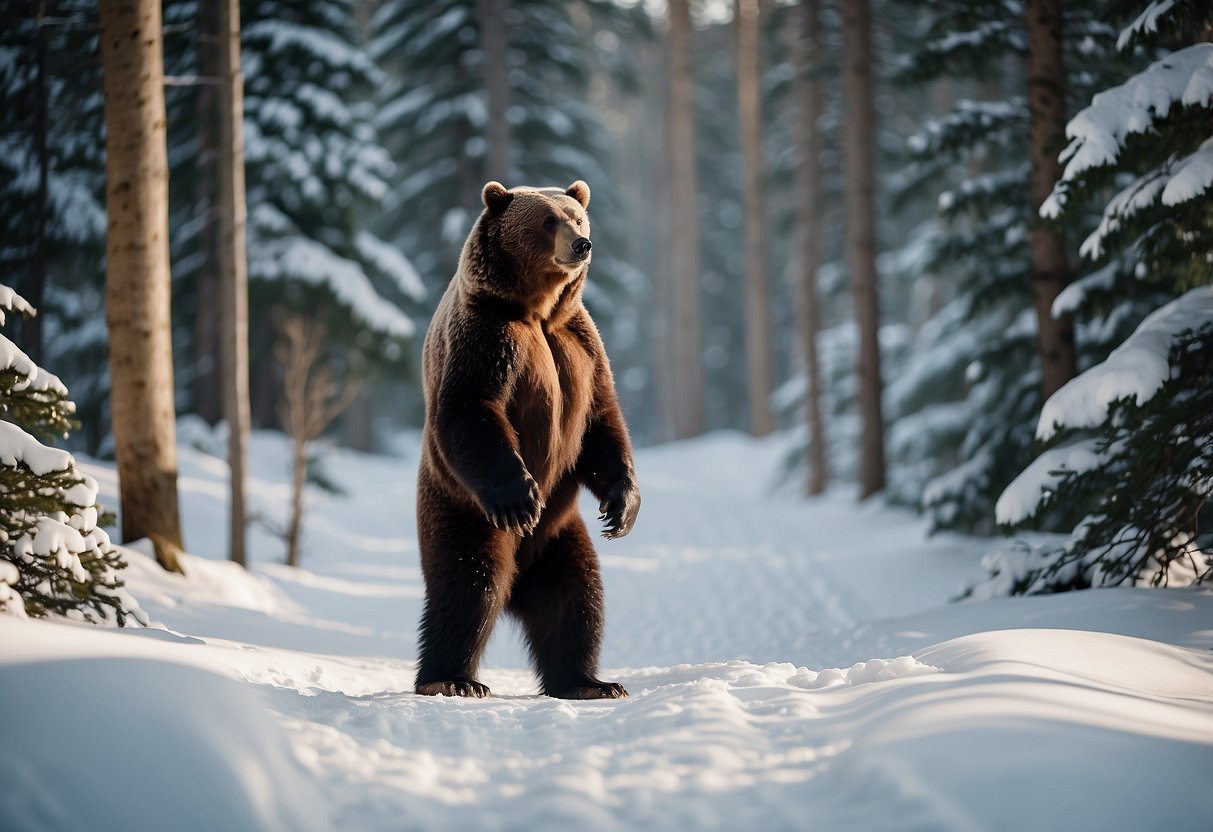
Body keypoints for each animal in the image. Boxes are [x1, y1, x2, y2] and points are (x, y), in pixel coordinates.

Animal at [414, 179, 645, 698]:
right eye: (546, 221)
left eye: (576, 216)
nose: (582, 245)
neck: (537, 309)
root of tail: (520, 573)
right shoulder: (486, 337)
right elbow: (472, 408)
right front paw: (519, 496)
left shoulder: (580, 344)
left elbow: (602, 422)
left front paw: (622, 508)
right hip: (461, 509)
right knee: (469, 584)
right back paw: (450, 678)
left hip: (561, 533)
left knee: (577, 597)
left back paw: (588, 681)